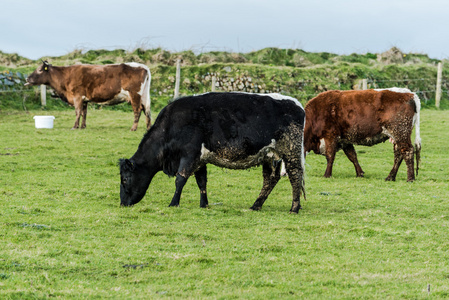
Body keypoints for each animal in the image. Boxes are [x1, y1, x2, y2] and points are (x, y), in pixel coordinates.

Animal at [119, 92, 306, 212]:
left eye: (125, 179)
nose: (122, 203)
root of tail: (297, 104)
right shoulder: (200, 159)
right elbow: (202, 182)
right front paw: (204, 204)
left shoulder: (189, 154)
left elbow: (180, 179)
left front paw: (173, 203)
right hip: (269, 155)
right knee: (270, 179)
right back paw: (256, 205)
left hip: (291, 151)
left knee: (295, 176)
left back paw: (294, 208)